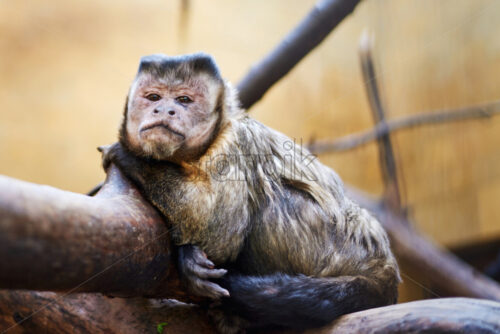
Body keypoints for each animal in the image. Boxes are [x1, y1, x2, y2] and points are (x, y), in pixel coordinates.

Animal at [99, 53, 400, 332]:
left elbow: (218, 230)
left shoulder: (235, 142)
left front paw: (128, 157)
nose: (164, 110)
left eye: (184, 100)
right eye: (153, 97)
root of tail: (383, 263)